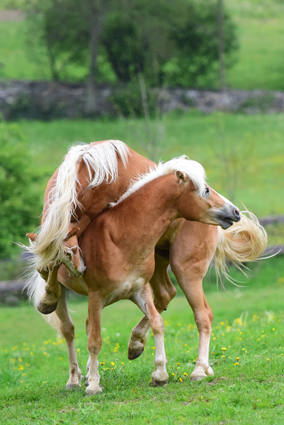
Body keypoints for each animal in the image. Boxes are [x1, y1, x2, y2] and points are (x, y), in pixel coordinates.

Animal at [24, 141, 266, 390]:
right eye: (205, 190)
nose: (234, 211)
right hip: (159, 265)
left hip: (184, 269)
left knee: (201, 315)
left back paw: (197, 368)